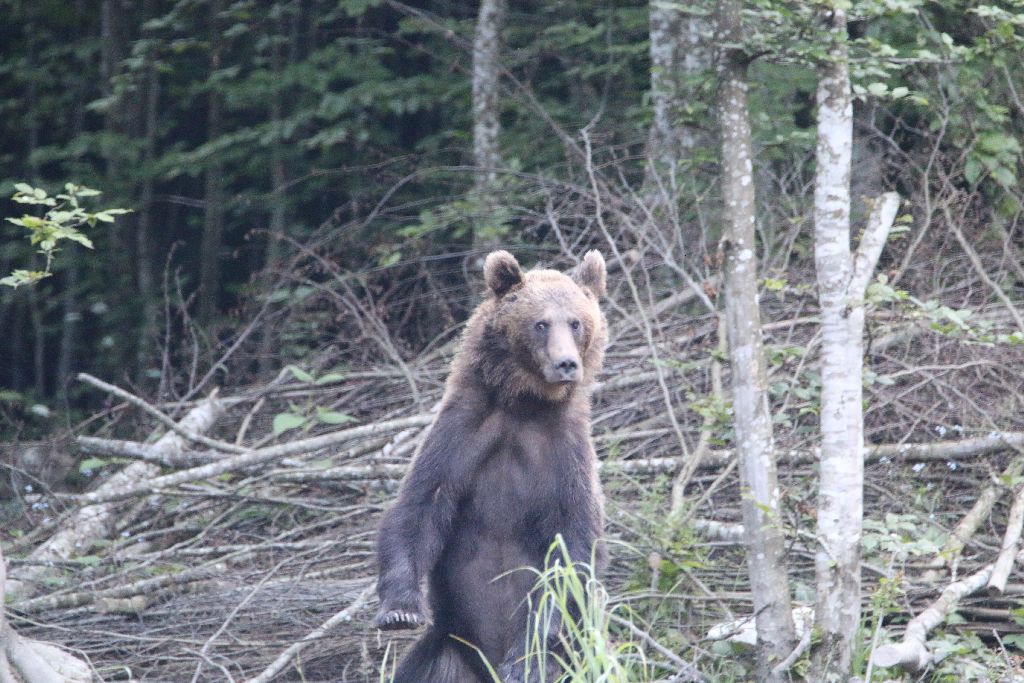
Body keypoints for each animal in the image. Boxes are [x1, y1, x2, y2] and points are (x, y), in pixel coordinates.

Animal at [376, 249, 606, 683]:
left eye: (576, 322)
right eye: (540, 323)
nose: (567, 363)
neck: (525, 404)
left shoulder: (566, 456)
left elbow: (570, 548)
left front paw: (524, 658)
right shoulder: (462, 433)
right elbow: (419, 506)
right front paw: (400, 610)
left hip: (574, 662)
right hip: (446, 652)